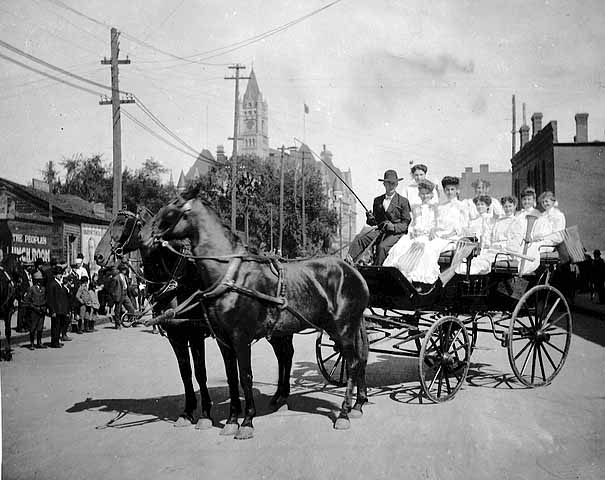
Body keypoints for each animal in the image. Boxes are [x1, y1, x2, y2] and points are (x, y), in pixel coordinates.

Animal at [92, 211, 294, 436]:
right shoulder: (176, 336)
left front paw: (205, 414)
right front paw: (187, 412)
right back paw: (278, 395)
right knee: (283, 355)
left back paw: (282, 397)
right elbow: (185, 373)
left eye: (122, 223)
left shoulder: (195, 334)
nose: (98, 256)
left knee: (286, 354)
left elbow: (200, 372)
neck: (178, 281)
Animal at [140, 194, 368, 438]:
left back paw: (345, 412)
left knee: (353, 363)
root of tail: (352, 270)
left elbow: (245, 376)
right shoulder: (222, 340)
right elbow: (230, 377)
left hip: (343, 330)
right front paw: (232, 420)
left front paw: (246, 421)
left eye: (170, 212)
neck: (230, 275)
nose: (144, 236)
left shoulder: (238, 338)